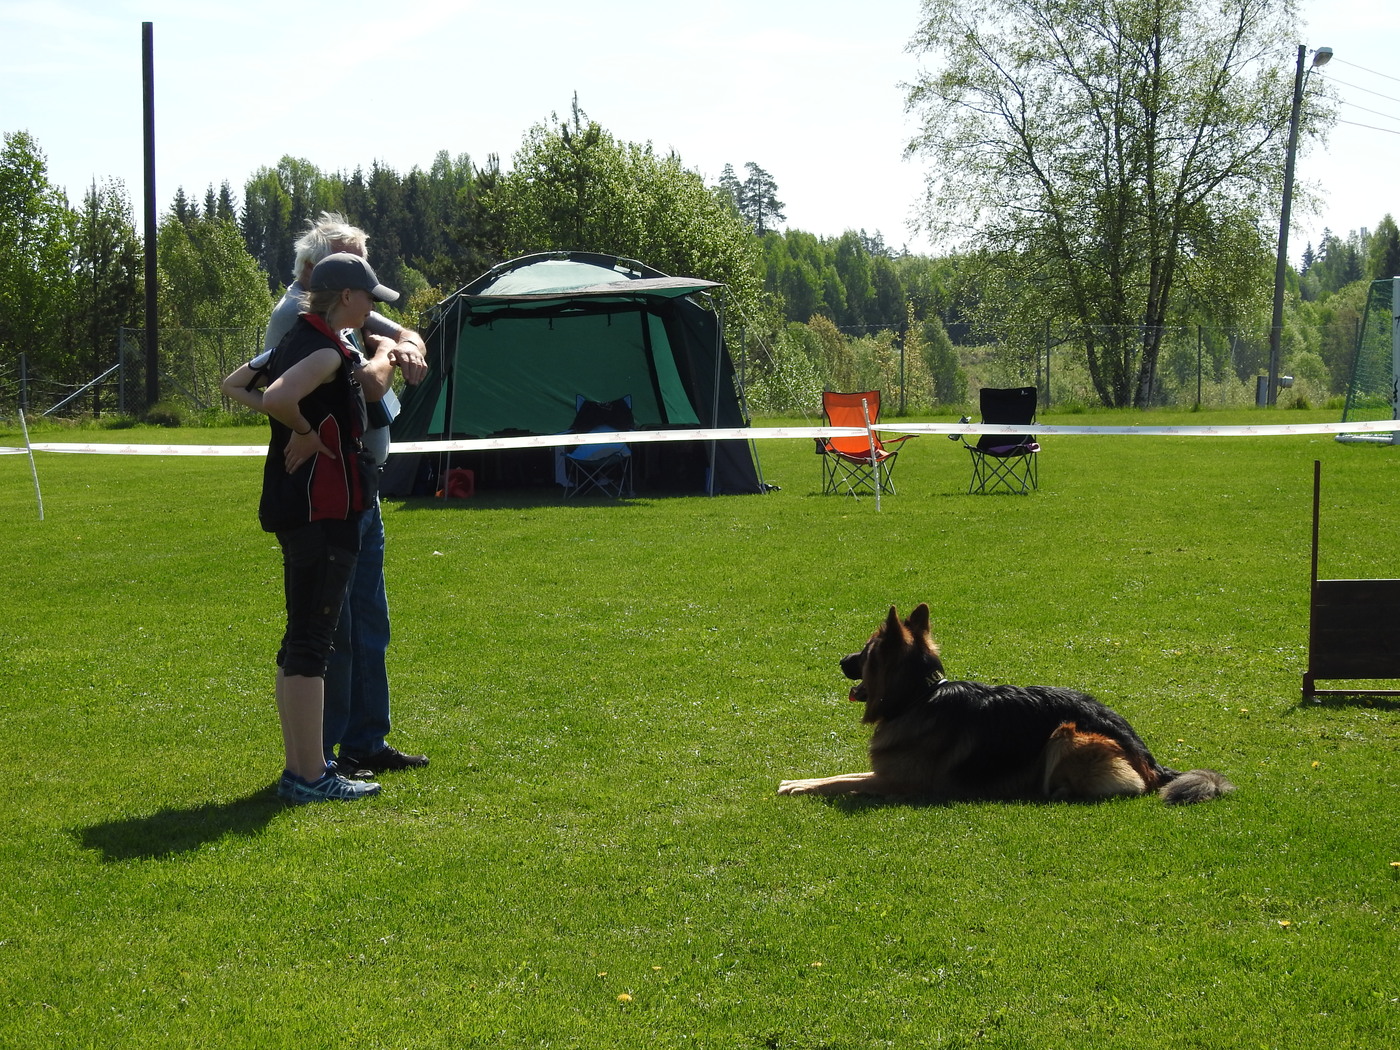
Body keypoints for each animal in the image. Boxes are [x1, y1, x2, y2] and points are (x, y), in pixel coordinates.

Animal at [778, 604, 1234, 804]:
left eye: (866, 652)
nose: (840, 661)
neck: (918, 696)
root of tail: (1147, 755)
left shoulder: (897, 782)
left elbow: (842, 782)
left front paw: (800, 786)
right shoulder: (885, 771)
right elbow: (841, 773)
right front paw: (798, 780)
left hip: (1067, 734)